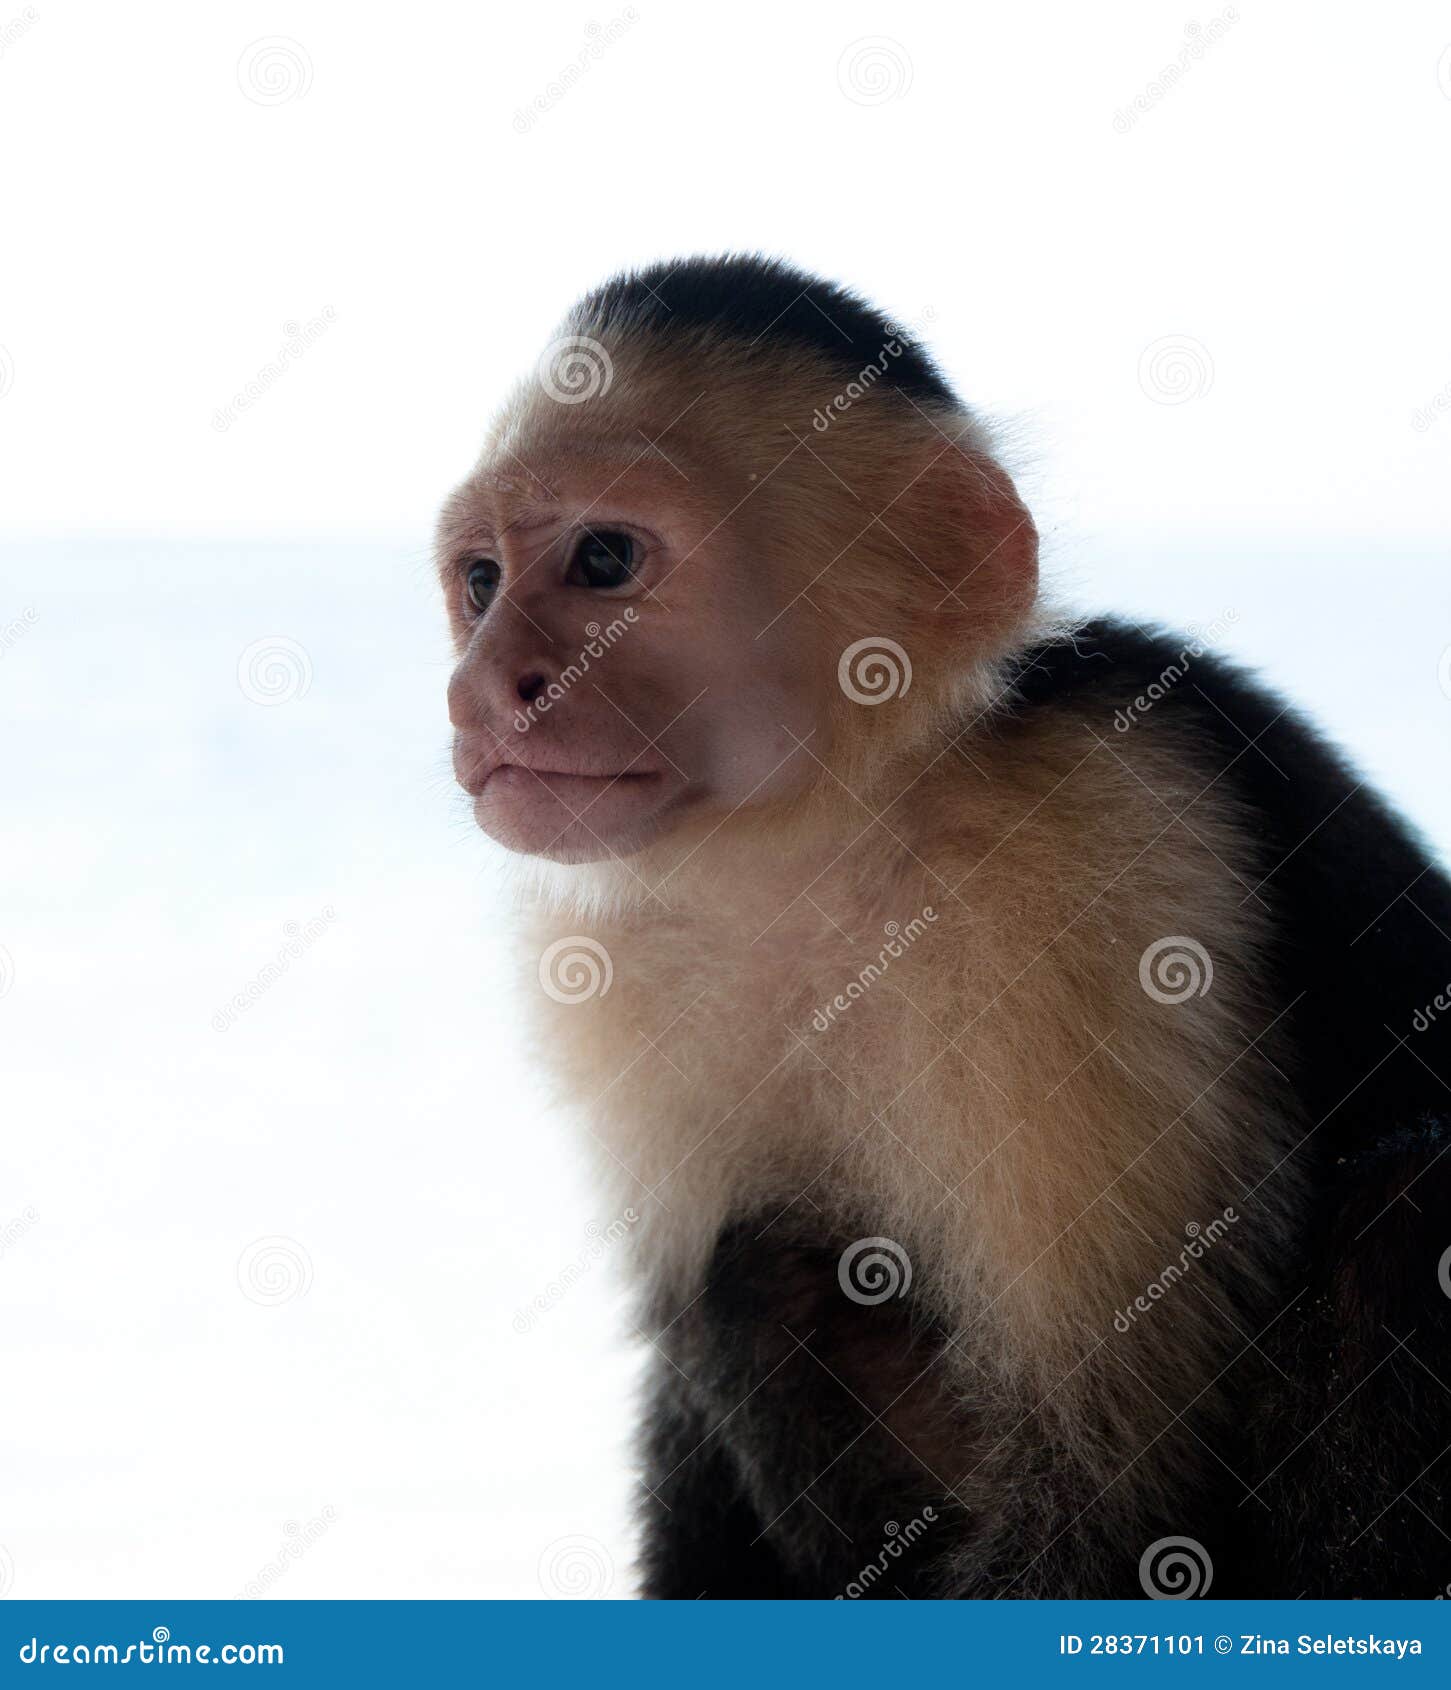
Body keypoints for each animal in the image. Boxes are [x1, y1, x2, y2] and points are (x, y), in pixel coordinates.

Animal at [438, 254, 1451, 1600]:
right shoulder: (616, 964)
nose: (478, 690)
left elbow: (1103, 1496)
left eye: (604, 558)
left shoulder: (1092, 845)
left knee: (1408, 1212)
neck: (834, 851)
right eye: (481, 582)